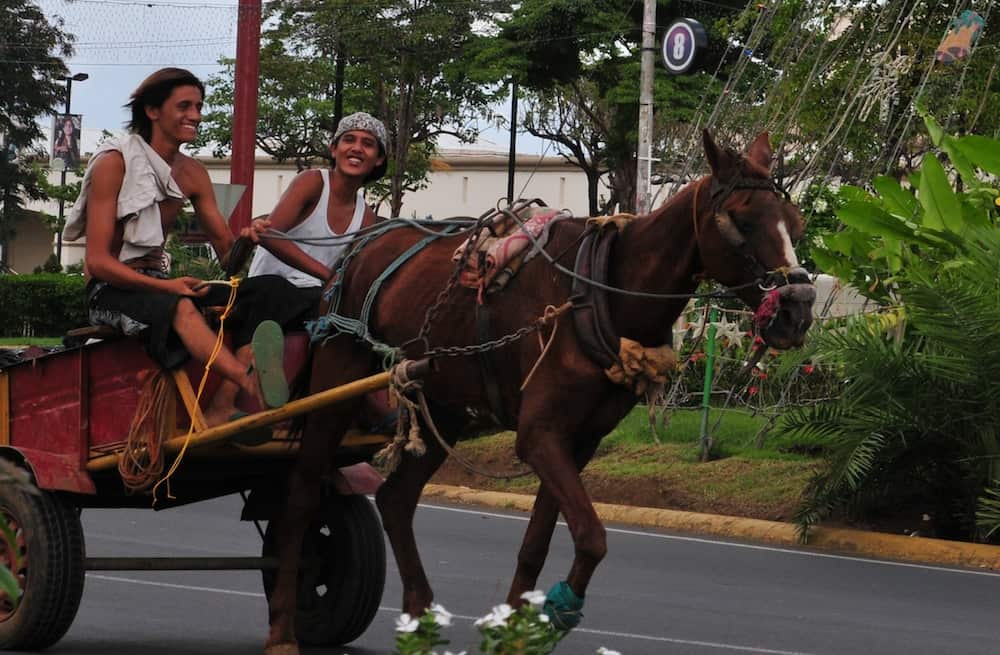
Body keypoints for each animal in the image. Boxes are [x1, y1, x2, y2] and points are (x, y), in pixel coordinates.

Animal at [261, 130, 816, 654]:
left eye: (795, 222)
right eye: (743, 221)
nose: (798, 309)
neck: (600, 290)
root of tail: (359, 249)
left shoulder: (580, 440)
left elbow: (537, 544)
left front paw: (518, 630)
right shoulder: (540, 434)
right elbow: (591, 537)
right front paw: (559, 608)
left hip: (445, 402)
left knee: (396, 499)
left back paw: (418, 618)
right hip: (337, 376)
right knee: (303, 496)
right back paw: (284, 628)